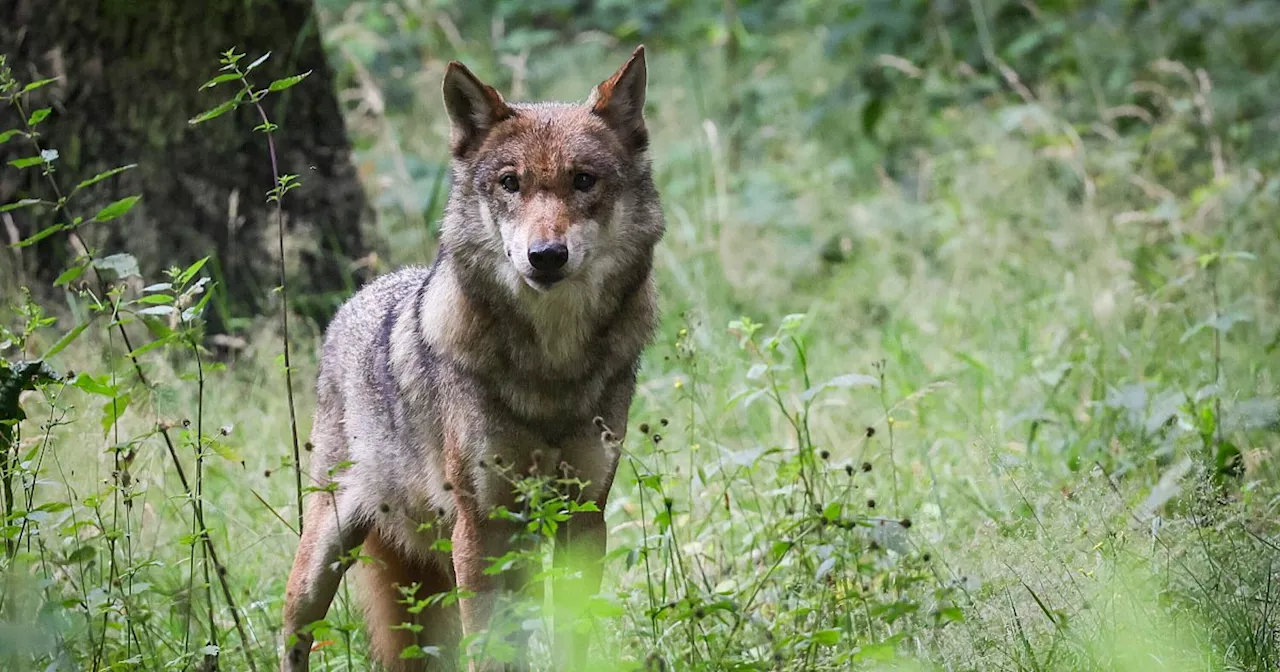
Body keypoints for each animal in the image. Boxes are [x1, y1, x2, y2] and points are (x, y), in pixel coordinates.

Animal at [277, 47, 660, 670]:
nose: (545, 256)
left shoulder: (583, 517)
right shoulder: (479, 527)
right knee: (292, 633)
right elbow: (486, 646)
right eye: (510, 183)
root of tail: (358, 297)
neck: (550, 368)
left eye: (583, 180)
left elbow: (572, 635)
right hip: (322, 563)